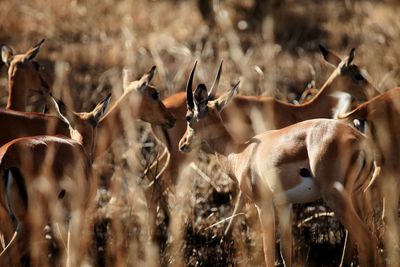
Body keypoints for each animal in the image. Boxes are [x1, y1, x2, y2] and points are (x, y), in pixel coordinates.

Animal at [0, 94, 111, 267]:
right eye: (98, 124)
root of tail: (6, 157)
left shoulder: (60, 220)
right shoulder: (77, 214)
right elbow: (72, 256)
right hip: (29, 224)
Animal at [148, 46, 380, 241]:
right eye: (358, 76)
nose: (376, 94)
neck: (298, 111)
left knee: (153, 179)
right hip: (179, 158)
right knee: (157, 182)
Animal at [178, 65, 382, 267]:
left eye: (188, 117)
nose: (182, 144)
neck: (241, 153)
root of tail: (359, 140)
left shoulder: (263, 205)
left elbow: (269, 252)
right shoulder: (285, 205)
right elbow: (285, 252)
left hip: (335, 196)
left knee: (367, 239)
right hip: (356, 195)